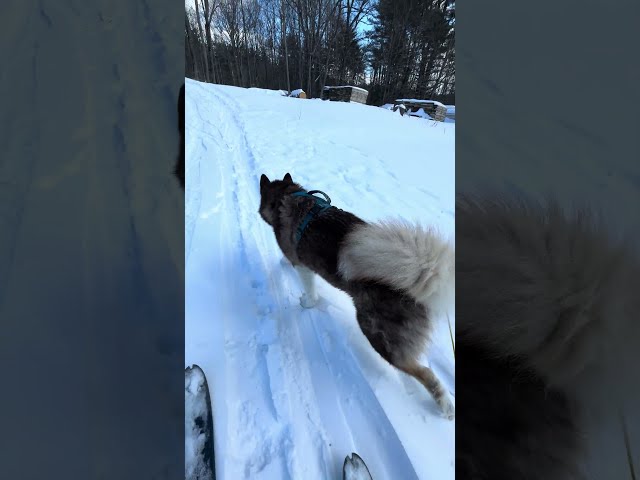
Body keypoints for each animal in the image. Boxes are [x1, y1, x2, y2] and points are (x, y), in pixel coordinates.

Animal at [258, 173, 458, 420]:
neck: (288, 195)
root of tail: (421, 276)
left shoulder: (302, 265)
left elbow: (307, 286)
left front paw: (307, 301)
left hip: (379, 335)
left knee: (424, 372)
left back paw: (445, 405)